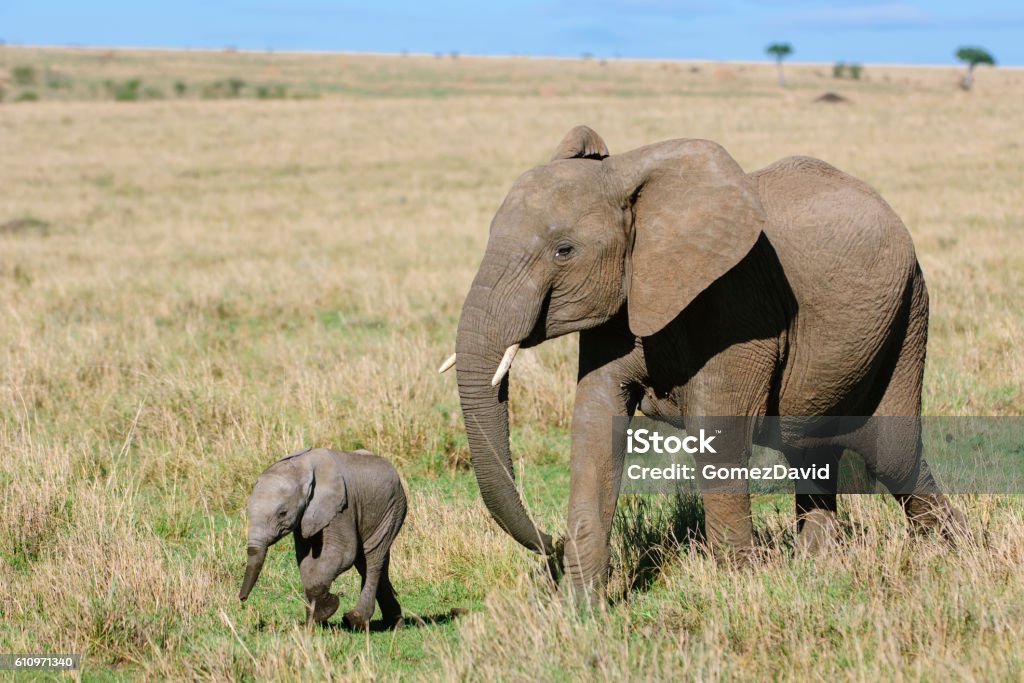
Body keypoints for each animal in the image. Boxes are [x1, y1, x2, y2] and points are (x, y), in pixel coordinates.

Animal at [237, 448, 405, 630]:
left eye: (282, 513)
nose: (242, 599)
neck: (302, 466)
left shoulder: (341, 507)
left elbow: (343, 554)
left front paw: (324, 611)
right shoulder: (305, 517)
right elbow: (306, 561)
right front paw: (312, 622)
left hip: (392, 509)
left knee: (372, 556)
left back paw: (355, 621)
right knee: (366, 563)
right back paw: (395, 624)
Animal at [438, 125, 958, 602]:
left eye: (564, 250)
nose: (550, 543)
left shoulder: (738, 302)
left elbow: (718, 434)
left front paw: (742, 588)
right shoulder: (621, 304)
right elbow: (595, 429)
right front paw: (579, 611)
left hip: (909, 313)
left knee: (892, 453)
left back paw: (951, 554)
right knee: (811, 451)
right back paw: (818, 566)